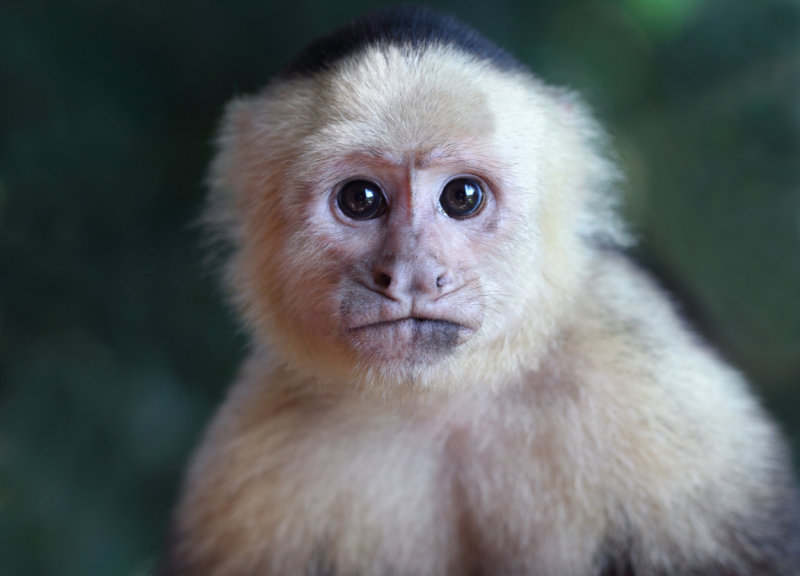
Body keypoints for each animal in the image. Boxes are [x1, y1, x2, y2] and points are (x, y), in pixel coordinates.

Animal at [156, 5, 800, 576]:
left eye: (462, 197)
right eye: (360, 199)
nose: (413, 275)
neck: (444, 403)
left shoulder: (646, 378)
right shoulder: (249, 454)